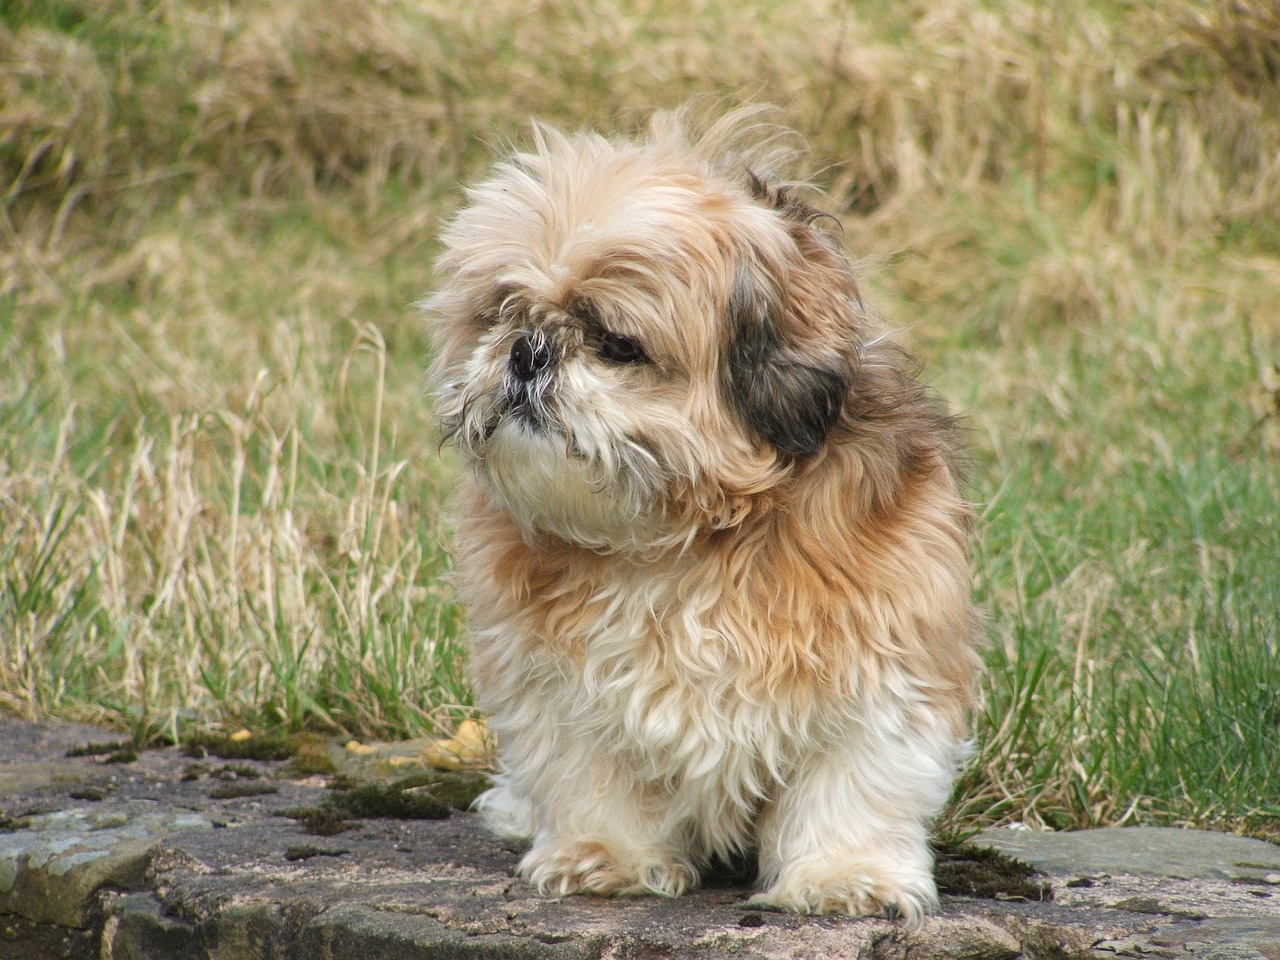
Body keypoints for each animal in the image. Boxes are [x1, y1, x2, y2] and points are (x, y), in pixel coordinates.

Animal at [427, 104, 977, 926]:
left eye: (617, 343)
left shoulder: (882, 665)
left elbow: (853, 783)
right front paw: (606, 856)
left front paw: (844, 874)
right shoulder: (559, 689)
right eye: (501, 314)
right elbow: (593, 776)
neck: (678, 541)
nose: (528, 351)